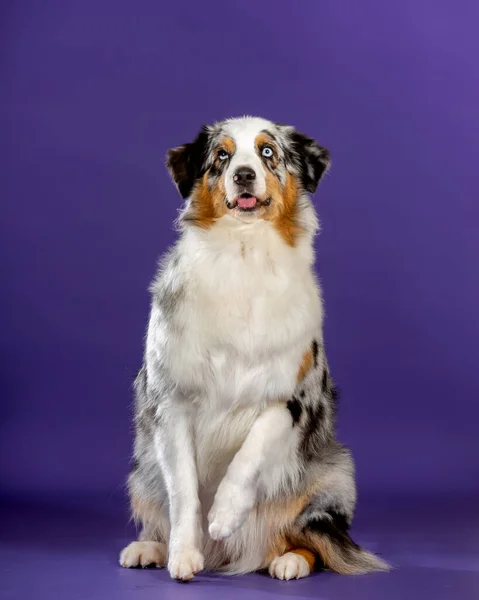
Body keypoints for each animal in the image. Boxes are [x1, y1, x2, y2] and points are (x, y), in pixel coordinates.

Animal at [119, 115, 390, 580]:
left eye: (268, 153)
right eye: (221, 156)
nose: (243, 175)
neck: (243, 253)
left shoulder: (293, 396)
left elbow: (250, 452)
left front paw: (225, 513)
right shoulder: (171, 399)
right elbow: (184, 491)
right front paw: (184, 555)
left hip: (334, 476)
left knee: (305, 536)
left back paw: (287, 560)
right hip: (141, 473)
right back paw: (150, 548)